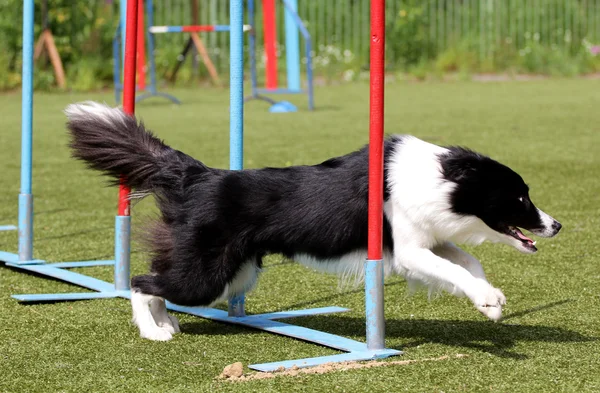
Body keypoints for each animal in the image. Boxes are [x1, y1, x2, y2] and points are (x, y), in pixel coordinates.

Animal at [65, 101, 564, 340]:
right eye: (520, 196)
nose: (556, 225)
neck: (440, 177)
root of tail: (200, 175)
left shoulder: (427, 240)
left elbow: (466, 263)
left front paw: (490, 301)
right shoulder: (408, 251)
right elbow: (453, 268)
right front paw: (488, 299)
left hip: (232, 273)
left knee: (156, 280)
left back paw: (167, 324)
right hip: (207, 275)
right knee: (140, 282)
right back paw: (153, 333)